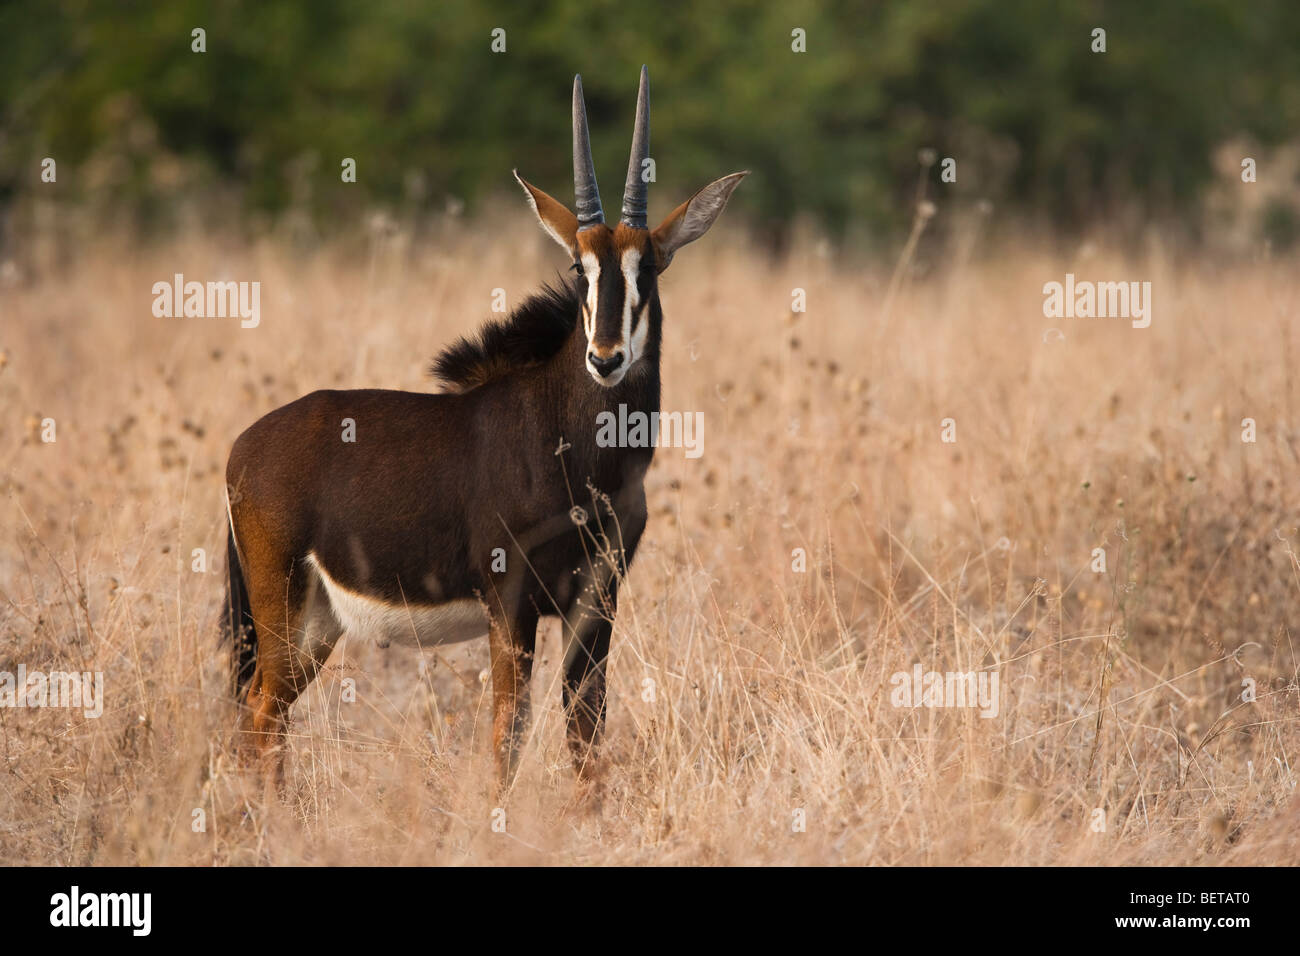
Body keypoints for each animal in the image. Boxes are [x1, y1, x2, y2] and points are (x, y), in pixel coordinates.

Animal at [222, 65, 748, 785]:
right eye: (579, 268)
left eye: (649, 267)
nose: (605, 358)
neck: (574, 449)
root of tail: (244, 447)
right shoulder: (511, 600)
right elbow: (509, 730)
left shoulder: (597, 600)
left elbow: (585, 729)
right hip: (282, 606)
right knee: (262, 712)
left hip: (318, 624)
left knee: (265, 710)